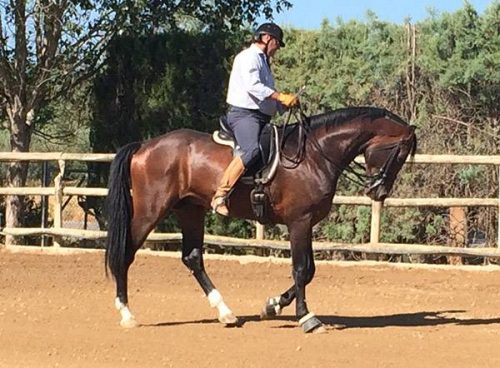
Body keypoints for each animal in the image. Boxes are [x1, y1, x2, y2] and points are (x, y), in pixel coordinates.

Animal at [105, 105, 418, 334]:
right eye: (399, 153)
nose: (378, 191)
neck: (314, 154)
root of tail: (144, 146)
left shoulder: (306, 223)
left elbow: (310, 271)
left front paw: (272, 306)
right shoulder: (299, 222)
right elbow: (301, 270)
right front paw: (307, 318)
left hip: (190, 210)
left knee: (192, 258)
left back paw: (226, 313)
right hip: (151, 210)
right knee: (126, 253)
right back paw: (127, 314)